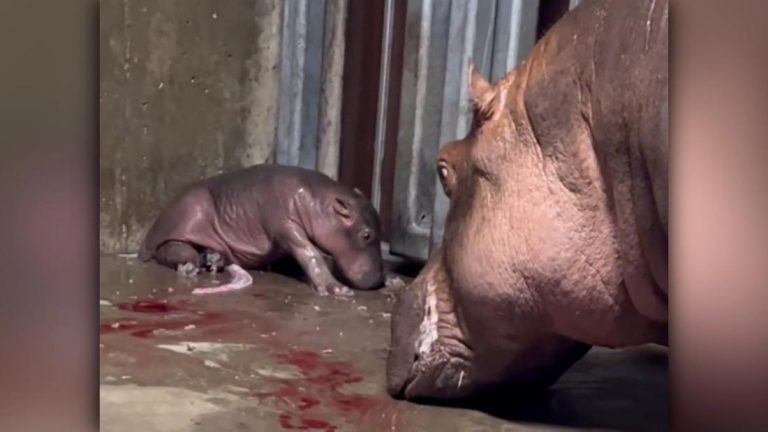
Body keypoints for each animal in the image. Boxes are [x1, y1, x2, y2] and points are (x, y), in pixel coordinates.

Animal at [138, 164, 384, 296]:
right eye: (366, 235)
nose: (380, 280)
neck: (320, 203)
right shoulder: (286, 226)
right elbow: (310, 253)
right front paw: (337, 289)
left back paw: (214, 258)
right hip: (191, 212)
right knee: (172, 249)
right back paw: (190, 266)